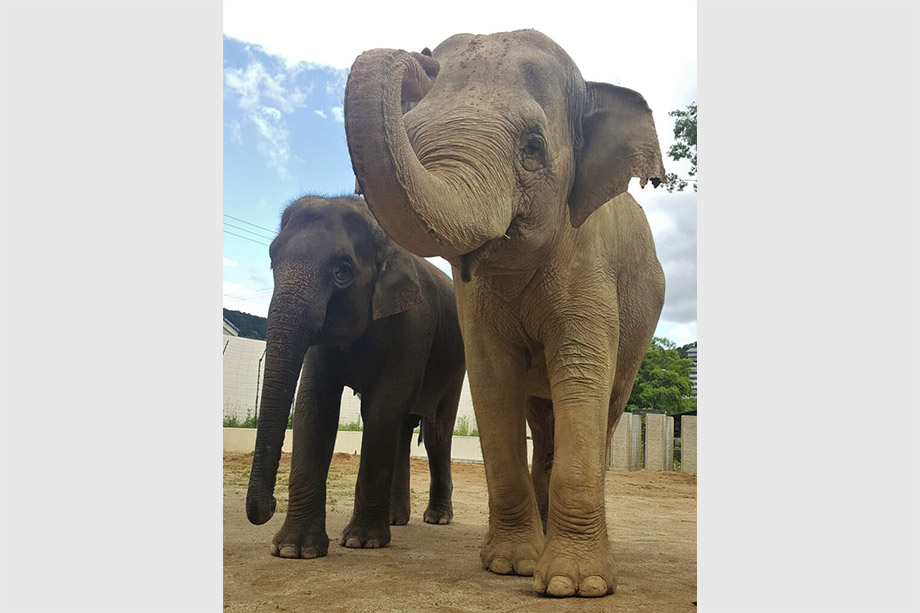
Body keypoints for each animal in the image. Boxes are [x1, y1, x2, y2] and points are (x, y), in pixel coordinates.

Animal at [243, 194, 464, 556]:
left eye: (342, 271)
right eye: (273, 261)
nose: (269, 507)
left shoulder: (414, 324)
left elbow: (383, 406)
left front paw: (362, 541)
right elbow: (315, 406)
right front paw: (294, 550)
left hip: (457, 365)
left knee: (435, 432)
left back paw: (437, 518)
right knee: (403, 430)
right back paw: (395, 519)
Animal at [344, 29, 668, 596]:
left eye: (533, 146)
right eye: (411, 134)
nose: (420, 58)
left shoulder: (592, 264)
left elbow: (582, 376)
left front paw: (573, 585)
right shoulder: (474, 305)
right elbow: (493, 382)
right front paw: (511, 566)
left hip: (639, 333)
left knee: (604, 409)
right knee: (543, 419)